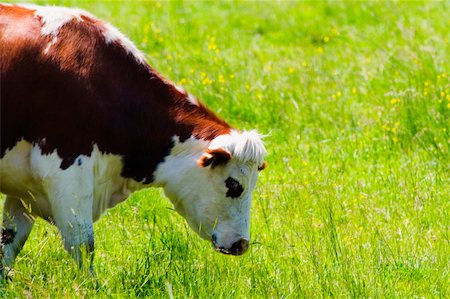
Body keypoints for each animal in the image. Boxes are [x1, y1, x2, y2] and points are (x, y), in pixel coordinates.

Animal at [0, 3, 266, 278]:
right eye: (234, 185)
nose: (242, 244)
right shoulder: (67, 176)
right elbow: (82, 244)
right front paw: (89, 285)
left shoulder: (24, 189)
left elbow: (10, 240)